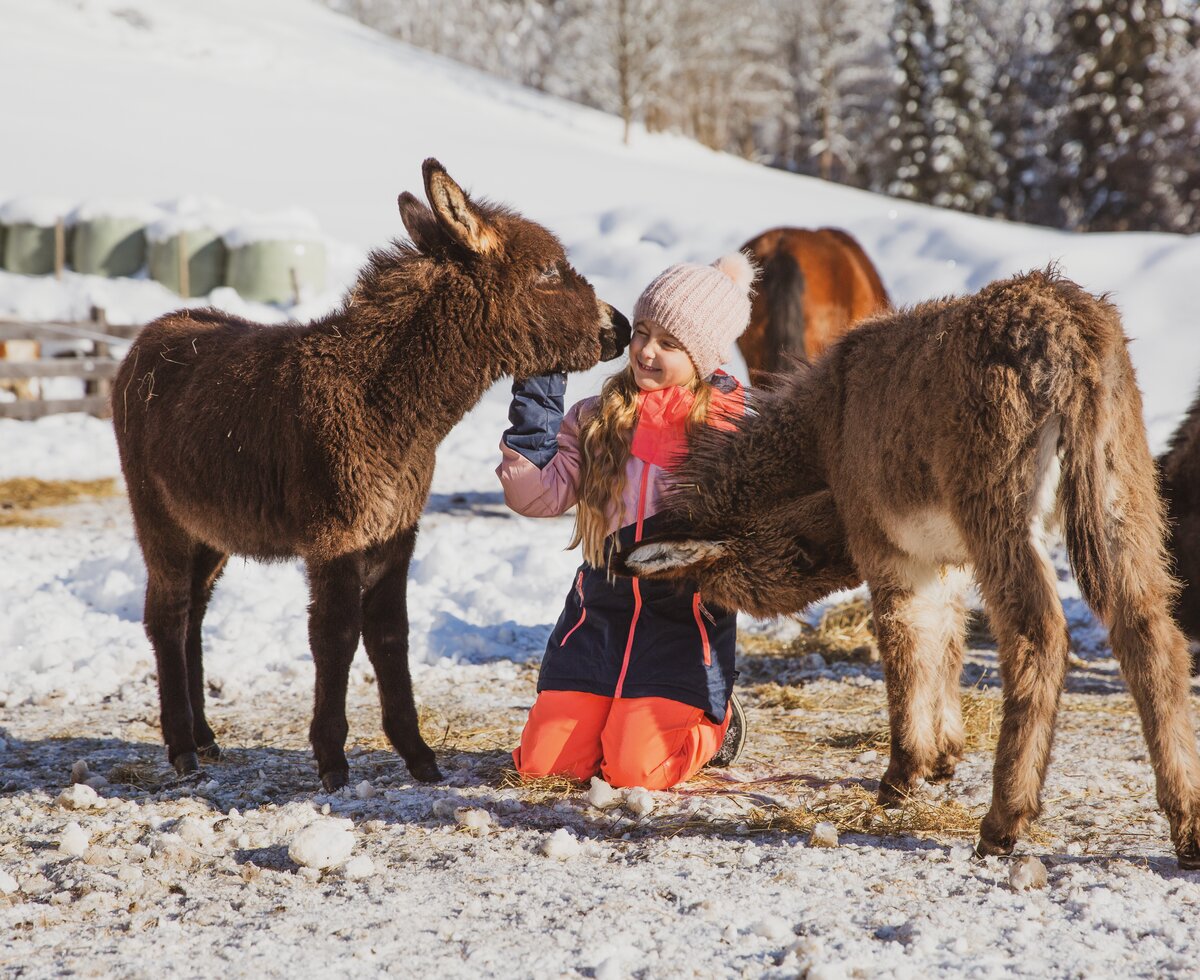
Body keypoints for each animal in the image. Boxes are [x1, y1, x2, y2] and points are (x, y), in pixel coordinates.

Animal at [114, 160, 628, 786]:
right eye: (549, 271)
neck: (384, 405)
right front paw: (332, 759)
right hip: (157, 515)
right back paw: (181, 747)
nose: (622, 327)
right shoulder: (334, 535)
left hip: (209, 530)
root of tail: (149, 334)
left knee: (194, 615)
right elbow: (335, 635)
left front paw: (418, 754)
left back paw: (206, 737)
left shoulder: (395, 532)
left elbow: (389, 634)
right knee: (167, 616)